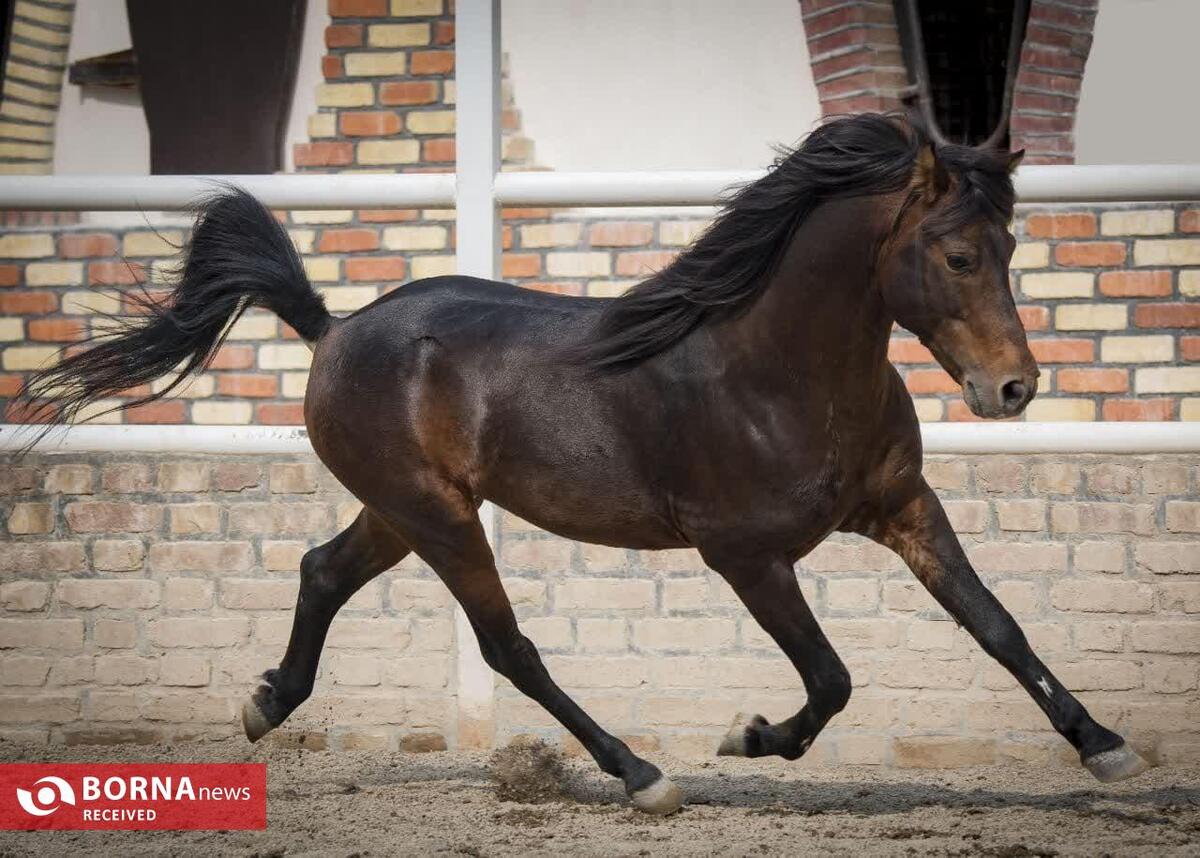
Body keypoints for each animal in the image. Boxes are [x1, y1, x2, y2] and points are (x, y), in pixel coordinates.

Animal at [16, 112, 1142, 811]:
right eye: (958, 256)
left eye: (1012, 249)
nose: (1013, 389)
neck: (777, 371)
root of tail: (333, 330)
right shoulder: (745, 556)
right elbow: (831, 679)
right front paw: (747, 737)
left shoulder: (905, 507)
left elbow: (998, 625)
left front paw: (1107, 748)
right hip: (439, 519)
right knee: (508, 646)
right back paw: (641, 775)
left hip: (402, 510)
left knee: (323, 572)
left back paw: (264, 704)